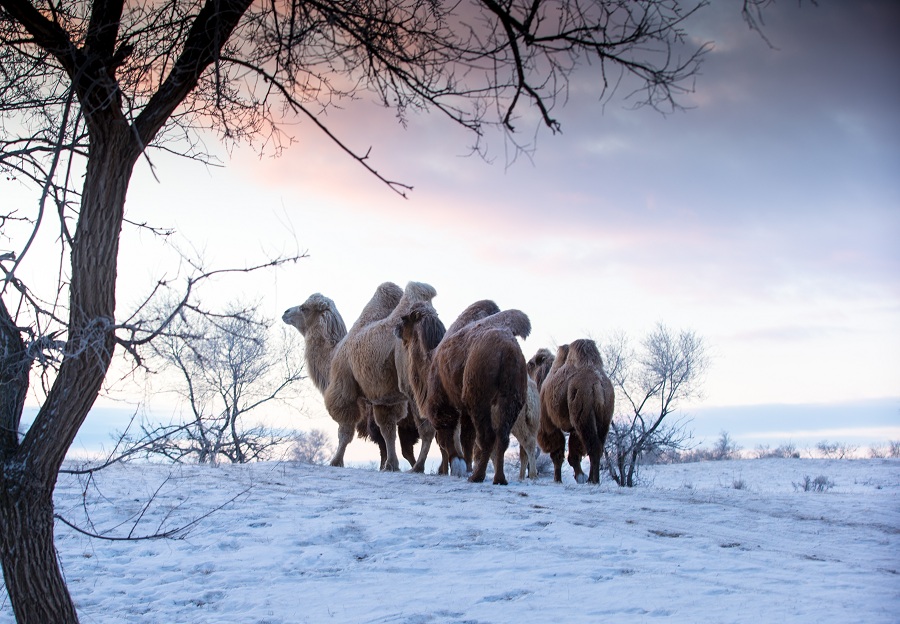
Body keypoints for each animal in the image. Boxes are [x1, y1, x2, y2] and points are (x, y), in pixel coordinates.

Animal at [282, 282, 418, 468]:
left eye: (304, 308)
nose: (285, 312)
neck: (332, 358)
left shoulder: (345, 393)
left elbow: (346, 431)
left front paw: (336, 461)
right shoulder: (384, 401)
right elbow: (387, 432)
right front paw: (390, 465)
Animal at [398, 300, 532, 486]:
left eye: (405, 319)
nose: (397, 328)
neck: (430, 359)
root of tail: (508, 350)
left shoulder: (442, 402)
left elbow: (446, 434)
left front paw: (458, 466)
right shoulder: (464, 409)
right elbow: (467, 438)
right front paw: (465, 466)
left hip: (479, 396)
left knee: (488, 436)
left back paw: (477, 476)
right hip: (513, 396)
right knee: (502, 436)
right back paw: (499, 478)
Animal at [536, 338, 616, 486]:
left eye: (532, 364)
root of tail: (597, 384)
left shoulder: (548, 420)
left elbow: (557, 451)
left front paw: (558, 479)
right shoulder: (574, 427)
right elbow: (574, 451)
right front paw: (579, 476)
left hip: (583, 413)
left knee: (592, 445)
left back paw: (593, 480)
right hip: (605, 415)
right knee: (599, 444)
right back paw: (592, 479)